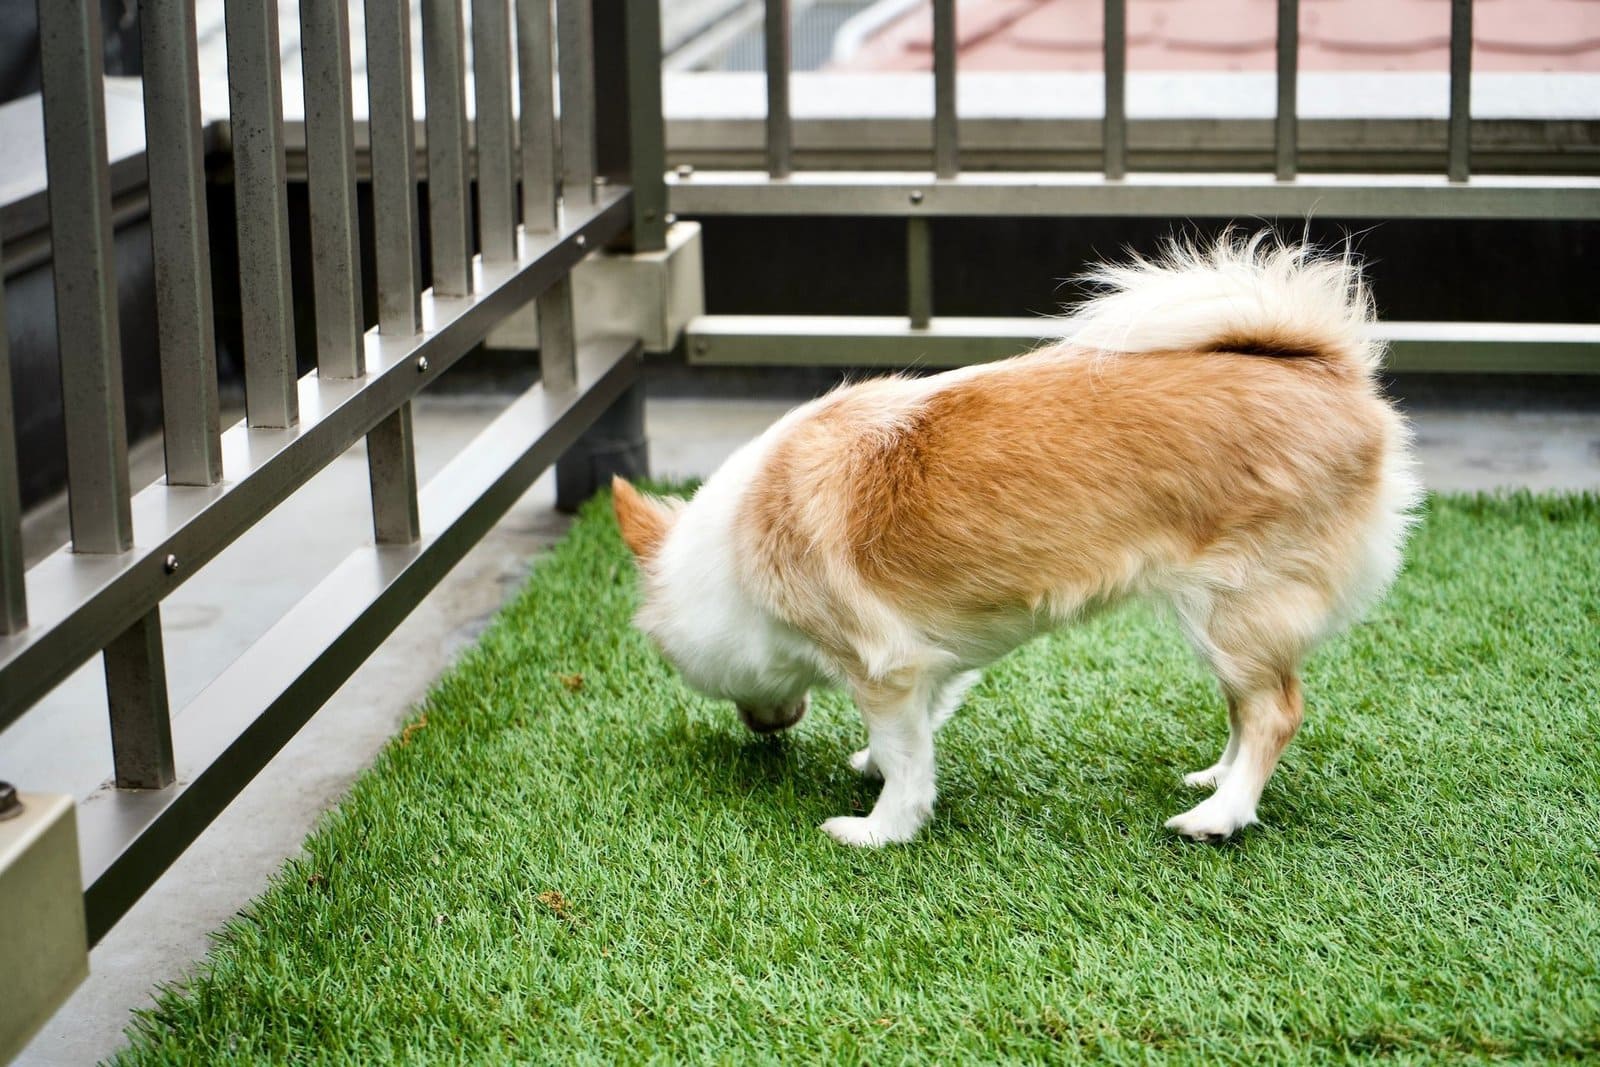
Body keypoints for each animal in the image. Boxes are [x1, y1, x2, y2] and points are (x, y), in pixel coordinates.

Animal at [617, 235, 1420, 851]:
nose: (763, 730)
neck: (732, 550)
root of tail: (1328, 367)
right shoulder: (928, 662)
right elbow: (916, 733)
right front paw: (874, 765)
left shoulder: (884, 665)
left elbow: (907, 760)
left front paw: (881, 829)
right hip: (1223, 621)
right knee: (1246, 706)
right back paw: (1215, 779)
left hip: (1235, 606)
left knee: (1275, 711)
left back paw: (1218, 816)